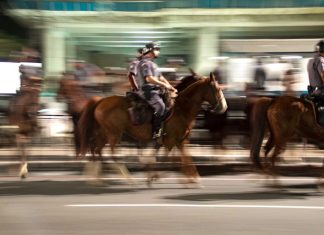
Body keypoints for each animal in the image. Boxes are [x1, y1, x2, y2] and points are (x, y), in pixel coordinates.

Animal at [77, 72, 227, 185]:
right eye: (218, 88)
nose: (224, 107)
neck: (181, 109)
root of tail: (101, 100)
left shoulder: (181, 141)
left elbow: (185, 158)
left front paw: (192, 178)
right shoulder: (171, 141)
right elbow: (170, 159)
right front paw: (154, 175)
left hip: (104, 133)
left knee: (96, 149)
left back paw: (95, 178)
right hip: (114, 133)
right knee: (110, 154)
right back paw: (127, 178)